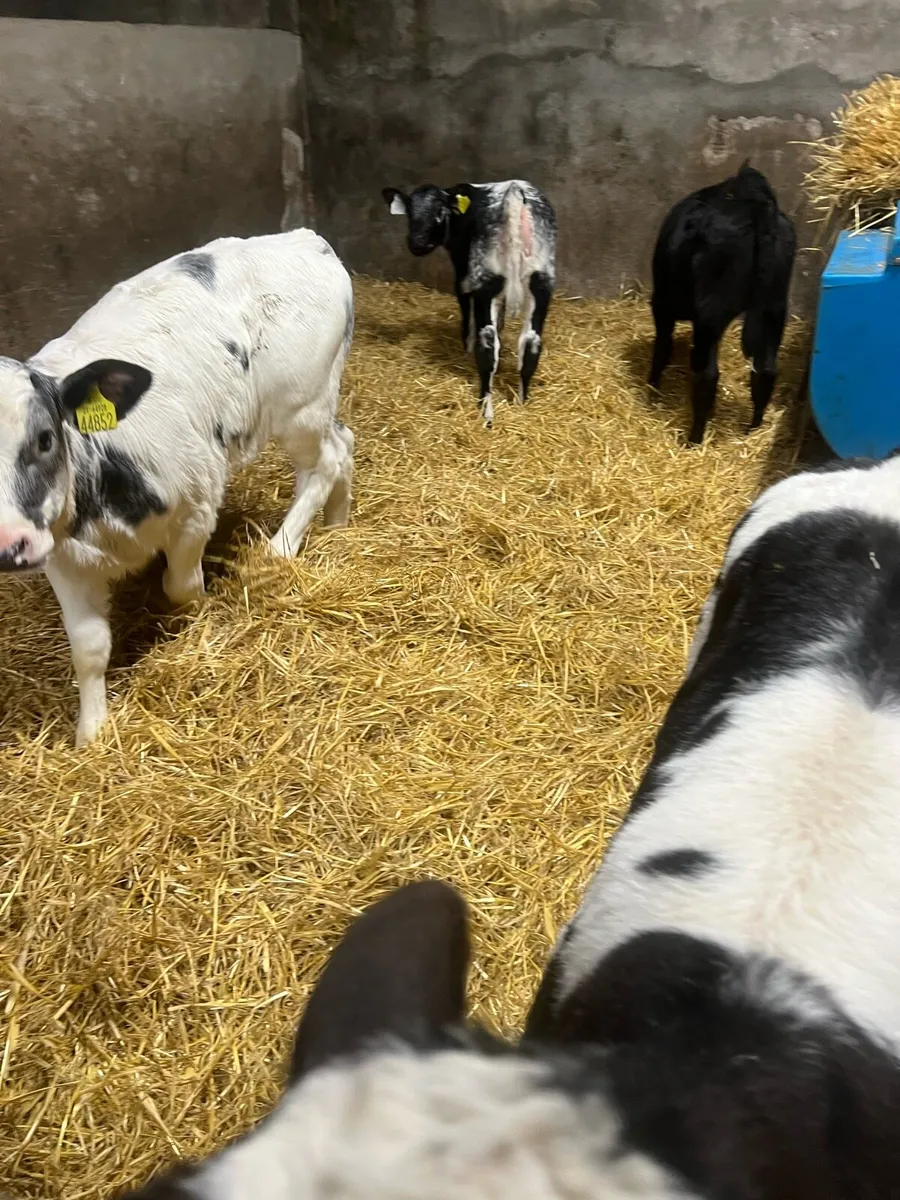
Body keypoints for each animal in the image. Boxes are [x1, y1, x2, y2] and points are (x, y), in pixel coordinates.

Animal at [0, 230, 355, 747]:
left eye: (45, 438)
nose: (7, 546)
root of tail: (302, 238)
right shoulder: (60, 554)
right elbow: (88, 648)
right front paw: (91, 734)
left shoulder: (195, 507)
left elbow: (181, 586)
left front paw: (197, 629)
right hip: (320, 402)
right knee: (345, 442)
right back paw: (337, 525)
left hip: (300, 404)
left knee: (324, 463)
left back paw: (279, 550)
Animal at [382, 180, 557, 427]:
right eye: (409, 212)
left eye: (439, 212)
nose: (417, 244)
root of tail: (514, 192)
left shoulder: (463, 274)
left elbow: (466, 308)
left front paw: (466, 349)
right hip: (541, 281)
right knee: (531, 342)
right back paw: (522, 404)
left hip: (486, 279)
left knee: (488, 345)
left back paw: (486, 412)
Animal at [648, 162, 796, 444]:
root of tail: (754, 203)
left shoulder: (662, 305)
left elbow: (662, 347)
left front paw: (651, 391)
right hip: (775, 305)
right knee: (766, 369)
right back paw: (753, 429)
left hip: (711, 314)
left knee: (707, 375)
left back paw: (694, 439)